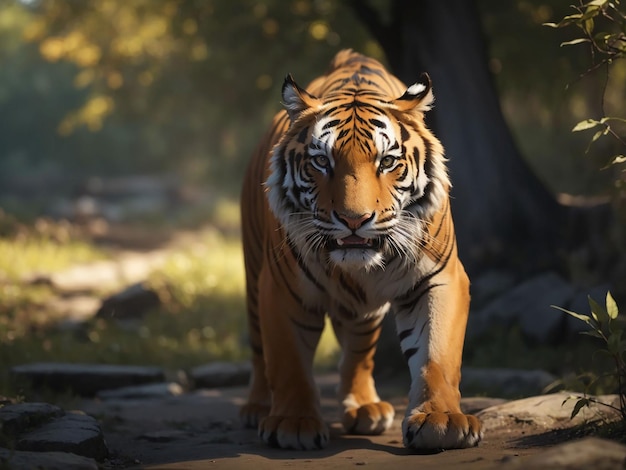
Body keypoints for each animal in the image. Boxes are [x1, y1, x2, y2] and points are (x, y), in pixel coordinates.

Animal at [240, 48, 482, 452]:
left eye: (387, 161)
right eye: (321, 161)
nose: (354, 219)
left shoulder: (439, 277)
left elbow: (436, 354)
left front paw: (441, 419)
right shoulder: (280, 288)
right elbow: (288, 360)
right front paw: (294, 423)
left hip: (365, 313)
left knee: (358, 353)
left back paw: (366, 408)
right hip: (253, 271)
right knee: (260, 352)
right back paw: (257, 408)